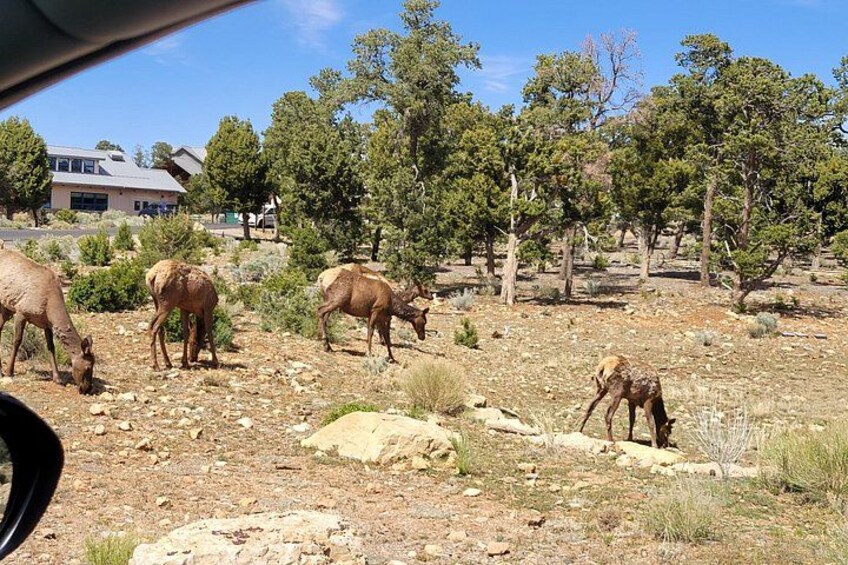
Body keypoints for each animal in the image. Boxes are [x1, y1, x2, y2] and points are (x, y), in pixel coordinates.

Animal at [0, 249, 95, 394]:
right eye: (88, 367)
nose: (87, 389)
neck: (50, 307)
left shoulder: (46, 324)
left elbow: (51, 347)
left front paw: (57, 378)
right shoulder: (21, 311)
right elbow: (17, 341)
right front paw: (9, 372)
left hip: (6, 307)